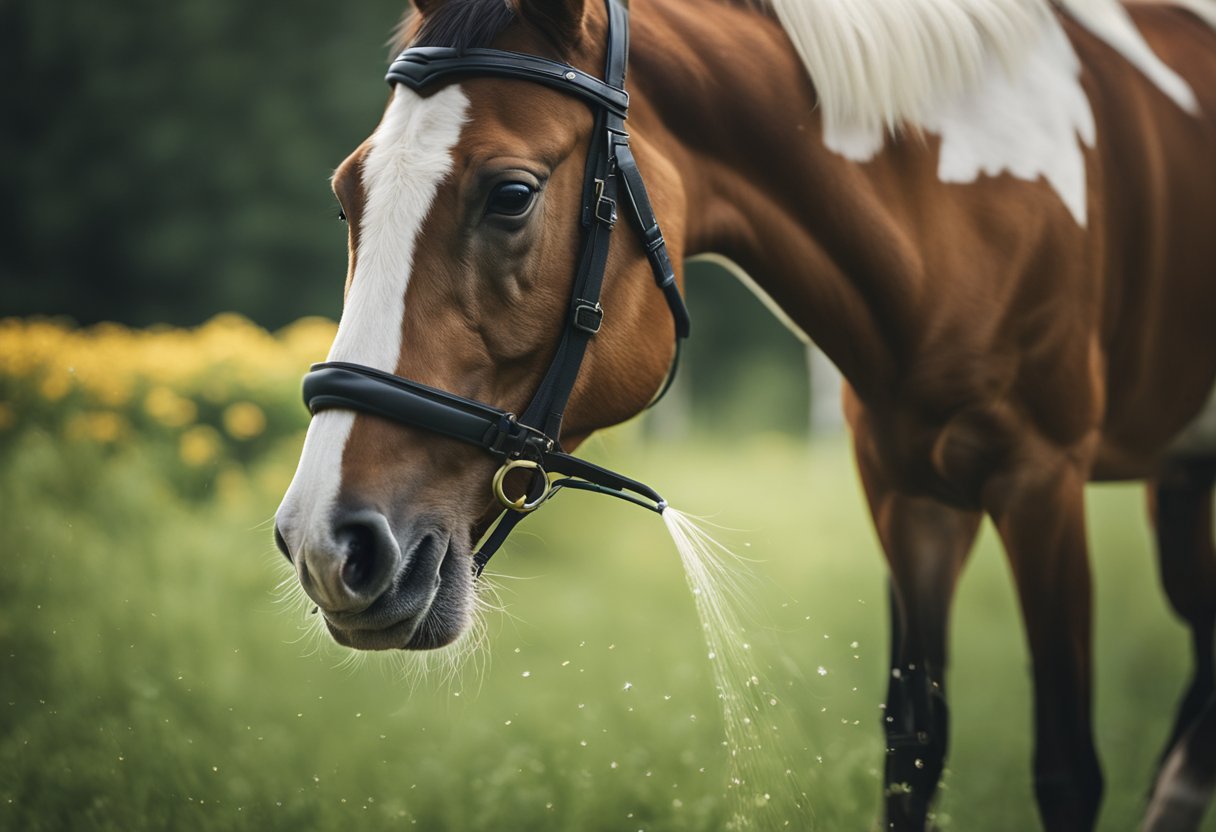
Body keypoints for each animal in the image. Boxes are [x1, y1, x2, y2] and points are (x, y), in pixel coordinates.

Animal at [273, 1, 1216, 827]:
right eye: (347, 195)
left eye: (510, 194)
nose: (325, 542)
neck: (967, 206)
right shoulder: (910, 498)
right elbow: (912, 751)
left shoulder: (1040, 485)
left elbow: (1065, 769)